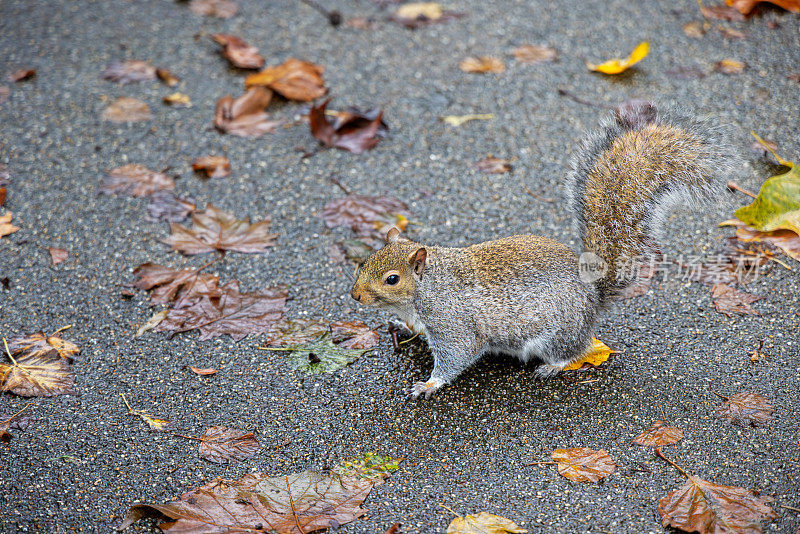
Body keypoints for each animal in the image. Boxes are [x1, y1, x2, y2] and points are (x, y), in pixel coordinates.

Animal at [346, 102, 736, 400]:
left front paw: (429, 384)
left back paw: (550, 367)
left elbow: (457, 356)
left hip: (555, 333)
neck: (426, 288)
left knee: (573, 352)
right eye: (364, 261)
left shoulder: (453, 324)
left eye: (392, 279)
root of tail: (592, 294)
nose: (355, 296)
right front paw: (399, 325)